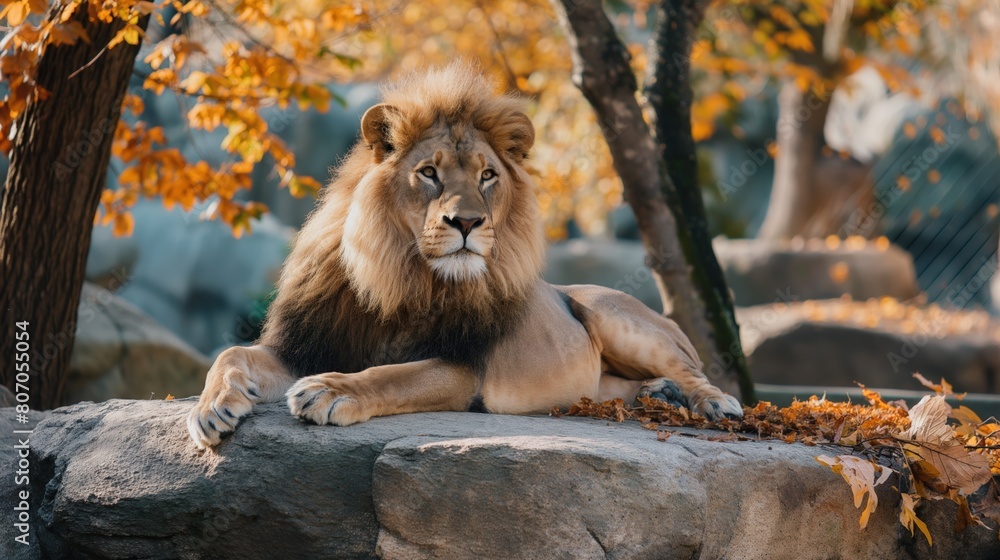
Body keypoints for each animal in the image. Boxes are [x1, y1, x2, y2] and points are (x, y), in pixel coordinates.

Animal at [187, 64, 743, 449]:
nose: (468, 223)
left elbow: (391, 375)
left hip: (612, 313)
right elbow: (230, 353)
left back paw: (712, 403)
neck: (400, 275)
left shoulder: (461, 367)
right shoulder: (305, 345)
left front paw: (329, 390)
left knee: (694, 370)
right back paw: (657, 395)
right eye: (429, 173)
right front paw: (211, 408)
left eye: (487, 176)